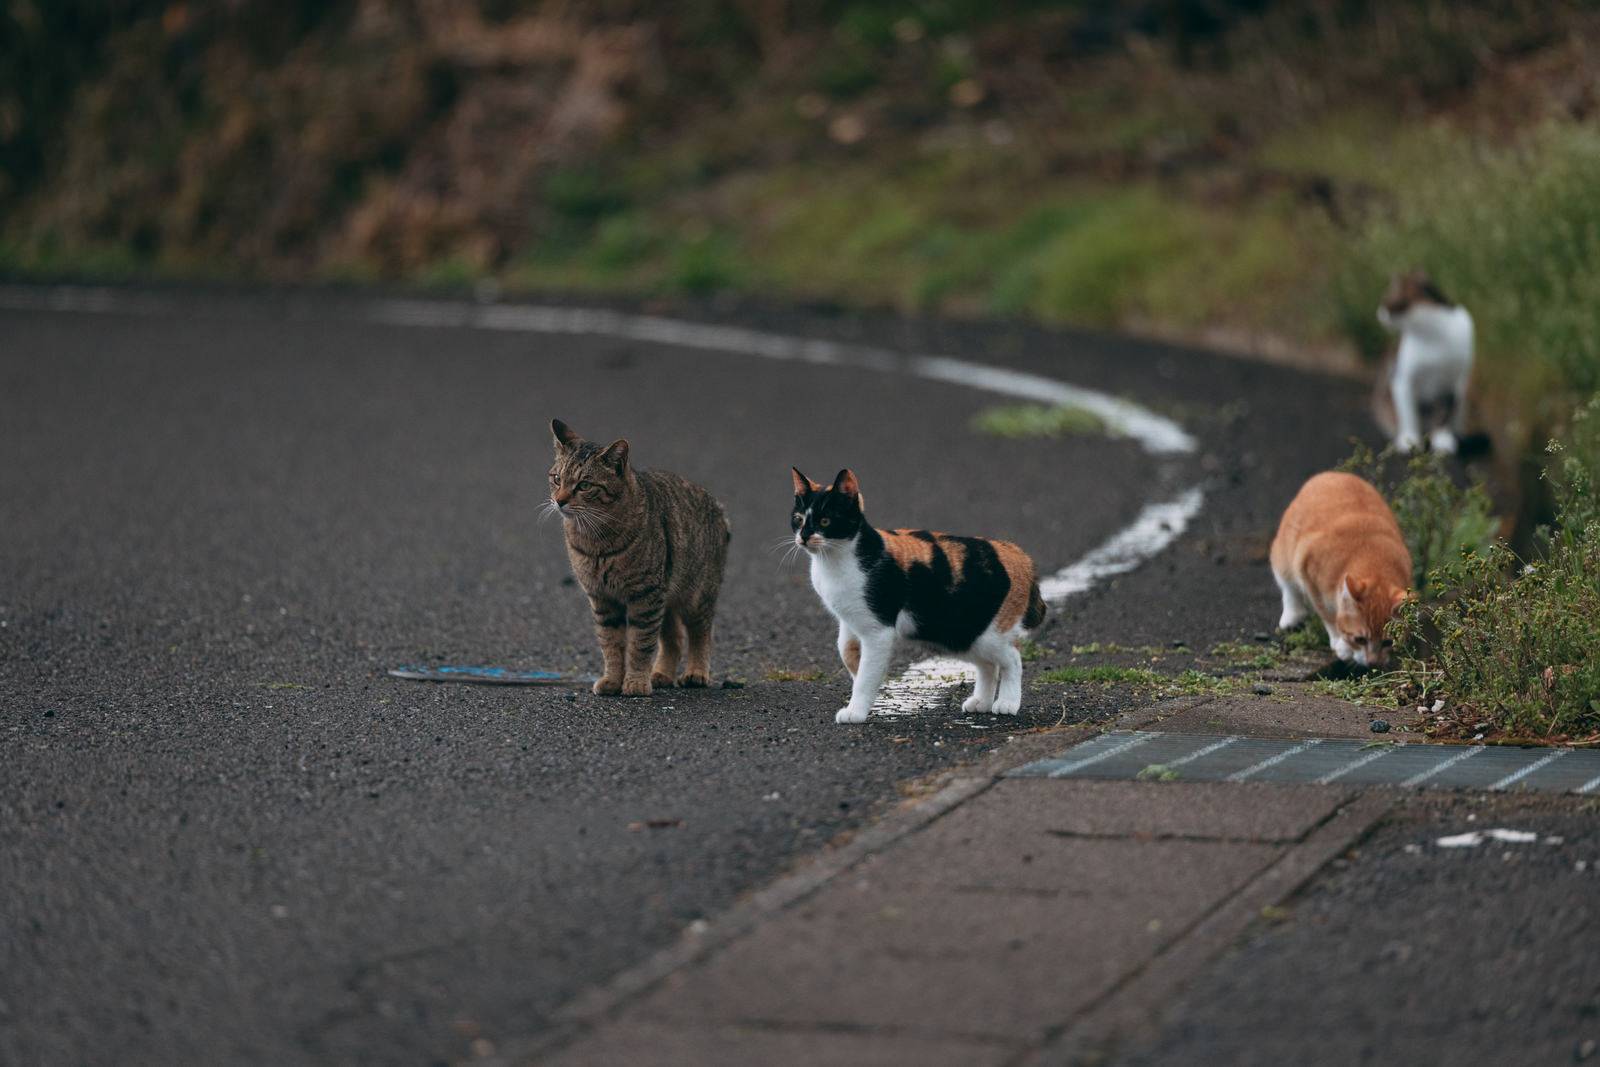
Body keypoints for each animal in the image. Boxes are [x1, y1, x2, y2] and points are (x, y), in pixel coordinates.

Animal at [547, 422, 729, 697]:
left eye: (585, 485)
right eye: (557, 479)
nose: (559, 501)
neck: (595, 538)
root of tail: (718, 506)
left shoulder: (645, 598)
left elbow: (640, 644)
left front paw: (635, 682)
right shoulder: (603, 599)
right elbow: (611, 645)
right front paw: (613, 680)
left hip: (696, 596)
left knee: (701, 632)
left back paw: (696, 673)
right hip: (667, 599)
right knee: (674, 638)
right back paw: (661, 674)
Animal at [790, 470, 1049, 726]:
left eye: (825, 521)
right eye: (799, 519)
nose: (804, 537)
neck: (834, 561)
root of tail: (1015, 553)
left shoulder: (878, 631)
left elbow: (866, 674)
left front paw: (856, 710)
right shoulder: (849, 621)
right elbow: (847, 653)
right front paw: (861, 681)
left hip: (988, 634)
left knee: (1012, 659)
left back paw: (1007, 703)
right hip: (962, 634)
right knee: (988, 665)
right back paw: (981, 703)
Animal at [1267, 470, 1408, 668]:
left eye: (1388, 642)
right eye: (1360, 639)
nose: (1373, 663)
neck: (1370, 558)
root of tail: (1333, 473)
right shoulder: (1310, 573)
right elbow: (1328, 614)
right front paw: (1341, 645)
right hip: (1284, 555)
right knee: (1288, 585)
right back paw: (1292, 616)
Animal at [1376, 267, 1472, 454]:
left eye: (1385, 302)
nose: (1379, 313)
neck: (1433, 330)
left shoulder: (1452, 380)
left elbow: (1444, 411)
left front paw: (1442, 440)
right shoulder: (1402, 379)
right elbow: (1409, 413)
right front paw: (1410, 440)